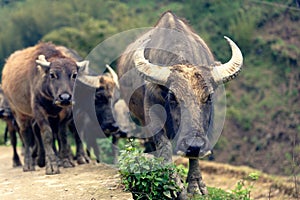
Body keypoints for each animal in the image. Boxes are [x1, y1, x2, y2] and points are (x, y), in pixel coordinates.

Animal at [1, 42, 89, 175]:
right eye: (52, 74)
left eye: (74, 75)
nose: (65, 98)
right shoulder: (39, 112)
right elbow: (47, 135)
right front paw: (52, 166)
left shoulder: (64, 114)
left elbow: (62, 135)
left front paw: (65, 161)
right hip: (19, 114)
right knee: (25, 135)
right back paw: (28, 164)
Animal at [115, 11, 244, 198]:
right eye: (172, 97)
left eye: (208, 97)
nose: (193, 144)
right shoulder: (151, 112)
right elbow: (164, 146)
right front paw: (172, 184)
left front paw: (196, 185)